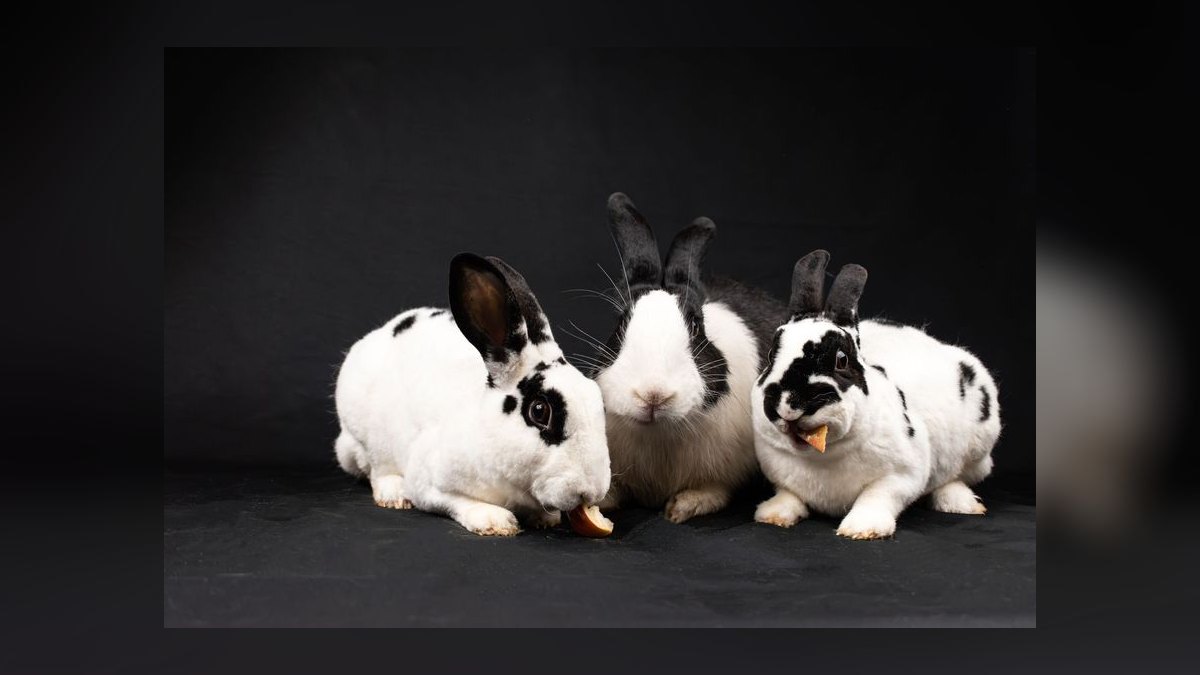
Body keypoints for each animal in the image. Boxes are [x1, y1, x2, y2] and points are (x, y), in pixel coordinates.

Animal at [333, 253, 611, 536]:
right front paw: (495, 521)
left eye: (598, 399)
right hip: (367, 439)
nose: (592, 492)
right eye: (539, 411)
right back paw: (395, 495)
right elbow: (457, 500)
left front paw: (546, 518)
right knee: (377, 469)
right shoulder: (428, 482)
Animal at [586, 193, 790, 523]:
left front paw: (684, 506)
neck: (659, 434)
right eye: (620, 323)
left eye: (696, 326)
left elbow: (715, 490)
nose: (653, 395)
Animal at [751, 250, 1001, 539]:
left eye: (841, 360)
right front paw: (772, 515)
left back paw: (963, 504)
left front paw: (862, 529)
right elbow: (789, 495)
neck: (822, 456)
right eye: (772, 355)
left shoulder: (902, 475)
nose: (788, 405)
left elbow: (877, 496)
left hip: (979, 445)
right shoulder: (780, 475)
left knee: (954, 478)